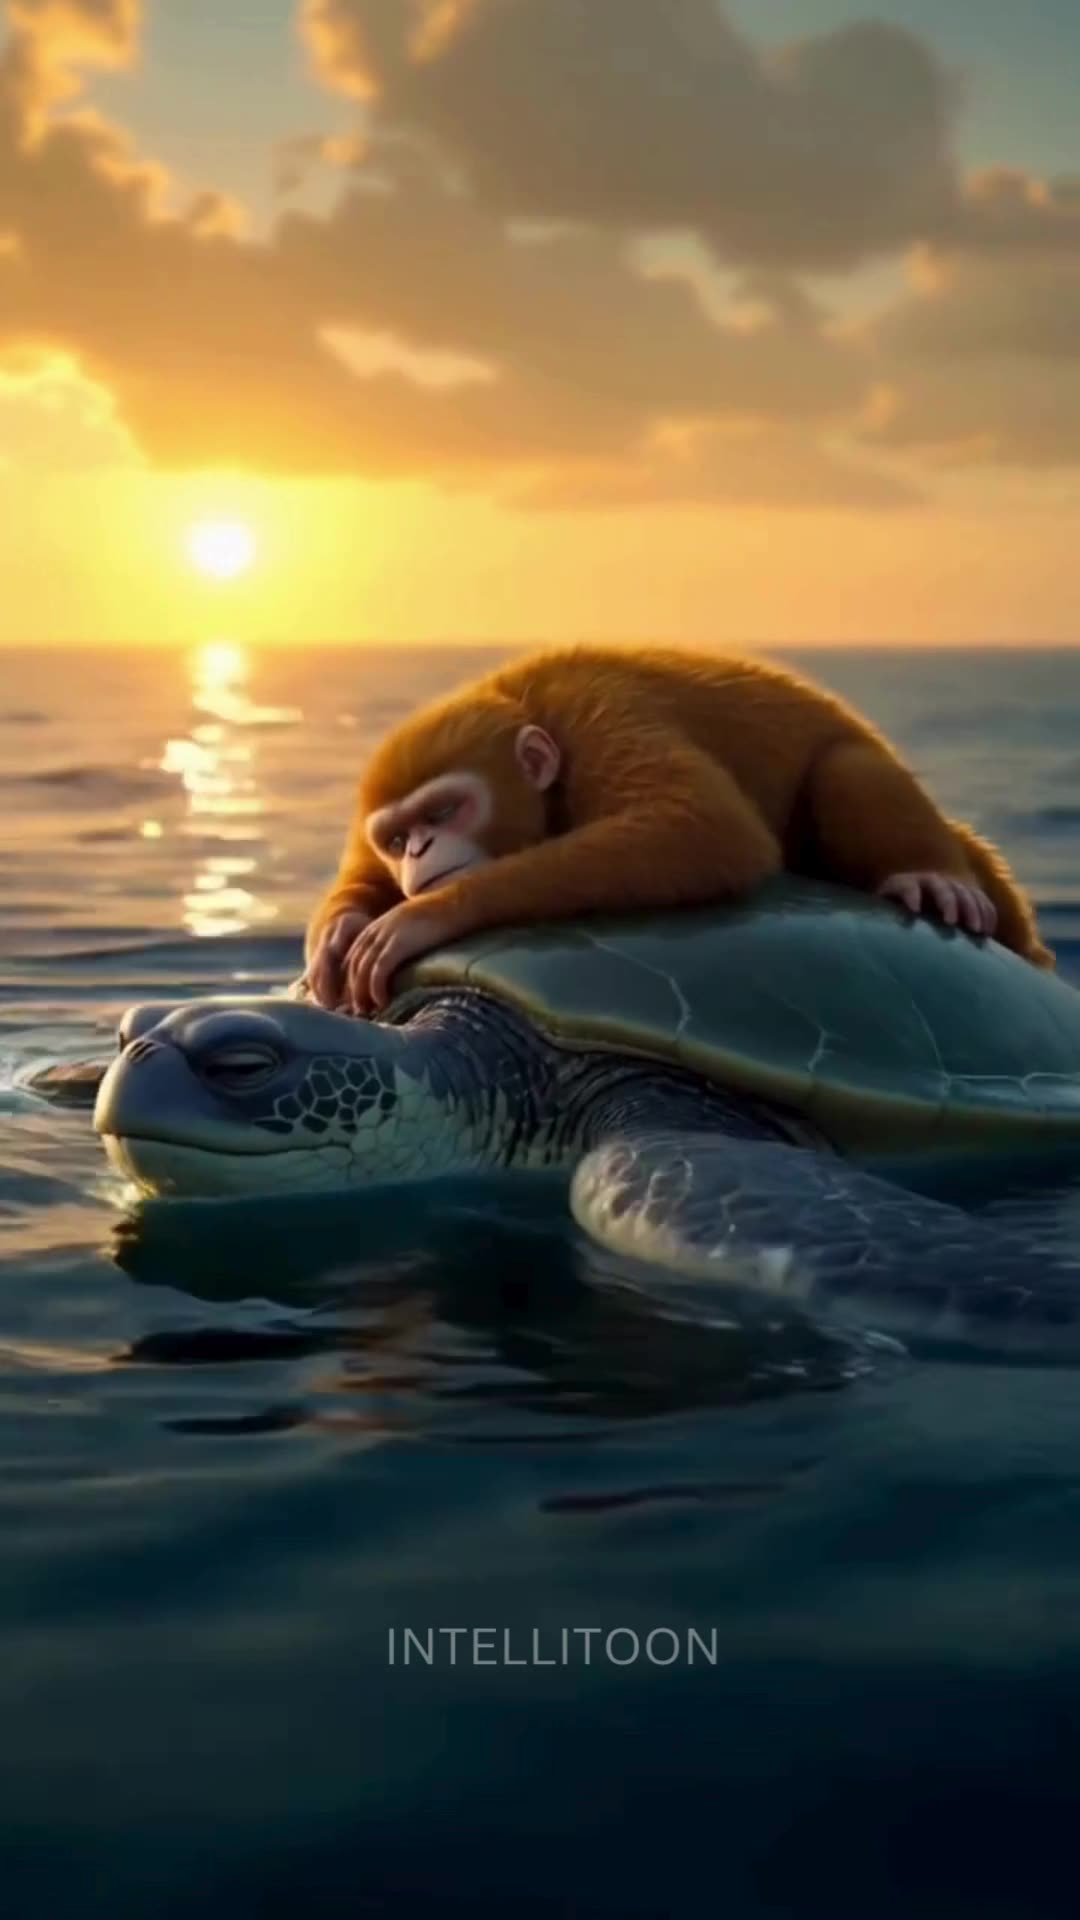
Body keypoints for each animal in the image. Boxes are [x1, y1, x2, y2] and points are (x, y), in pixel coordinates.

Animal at [304, 643, 1052, 1015]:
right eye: (397, 838)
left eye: (442, 813)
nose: (420, 852)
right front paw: (339, 932)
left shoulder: (600, 717)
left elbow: (700, 826)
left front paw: (419, 918)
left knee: (845, 769)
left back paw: (935, 872)